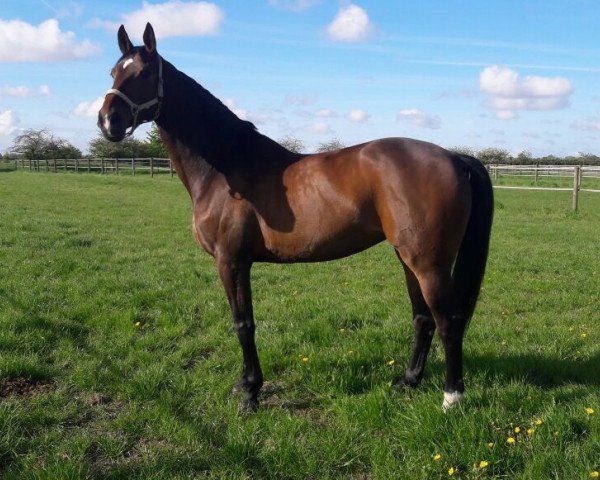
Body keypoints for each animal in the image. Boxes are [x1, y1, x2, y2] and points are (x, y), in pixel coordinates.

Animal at [98, 23, 492, 412]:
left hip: (429, 264)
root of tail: (453, 157)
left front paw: (250, 393)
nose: (107, 121)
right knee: (423, 319)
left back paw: (452, 398)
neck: (225, 166)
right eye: (114, 71)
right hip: (408, 259)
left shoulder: (232, 261)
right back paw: (407, 382)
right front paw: (244, 386)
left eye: (144, 73)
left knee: (449, 321)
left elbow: (243, 324)